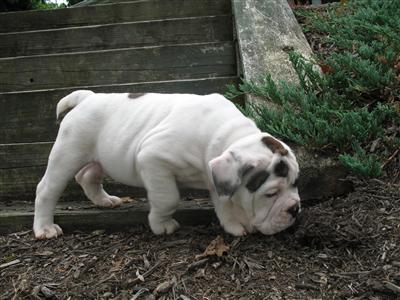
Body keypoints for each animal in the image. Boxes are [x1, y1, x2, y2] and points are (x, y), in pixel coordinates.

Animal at [32, 91, 298, 239]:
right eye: (270, 193)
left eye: (296, 184)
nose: (295, 209)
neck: (224, 133)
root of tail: (86, 97)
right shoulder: (153, 158)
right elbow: (168, 198)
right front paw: (162, 225)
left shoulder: (215, 176)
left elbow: (224, 203)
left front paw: (234, 225)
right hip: (68, 152)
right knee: (47, 189)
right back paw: (45, 228)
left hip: (98, 157)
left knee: (88, 176)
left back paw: (104, 200)